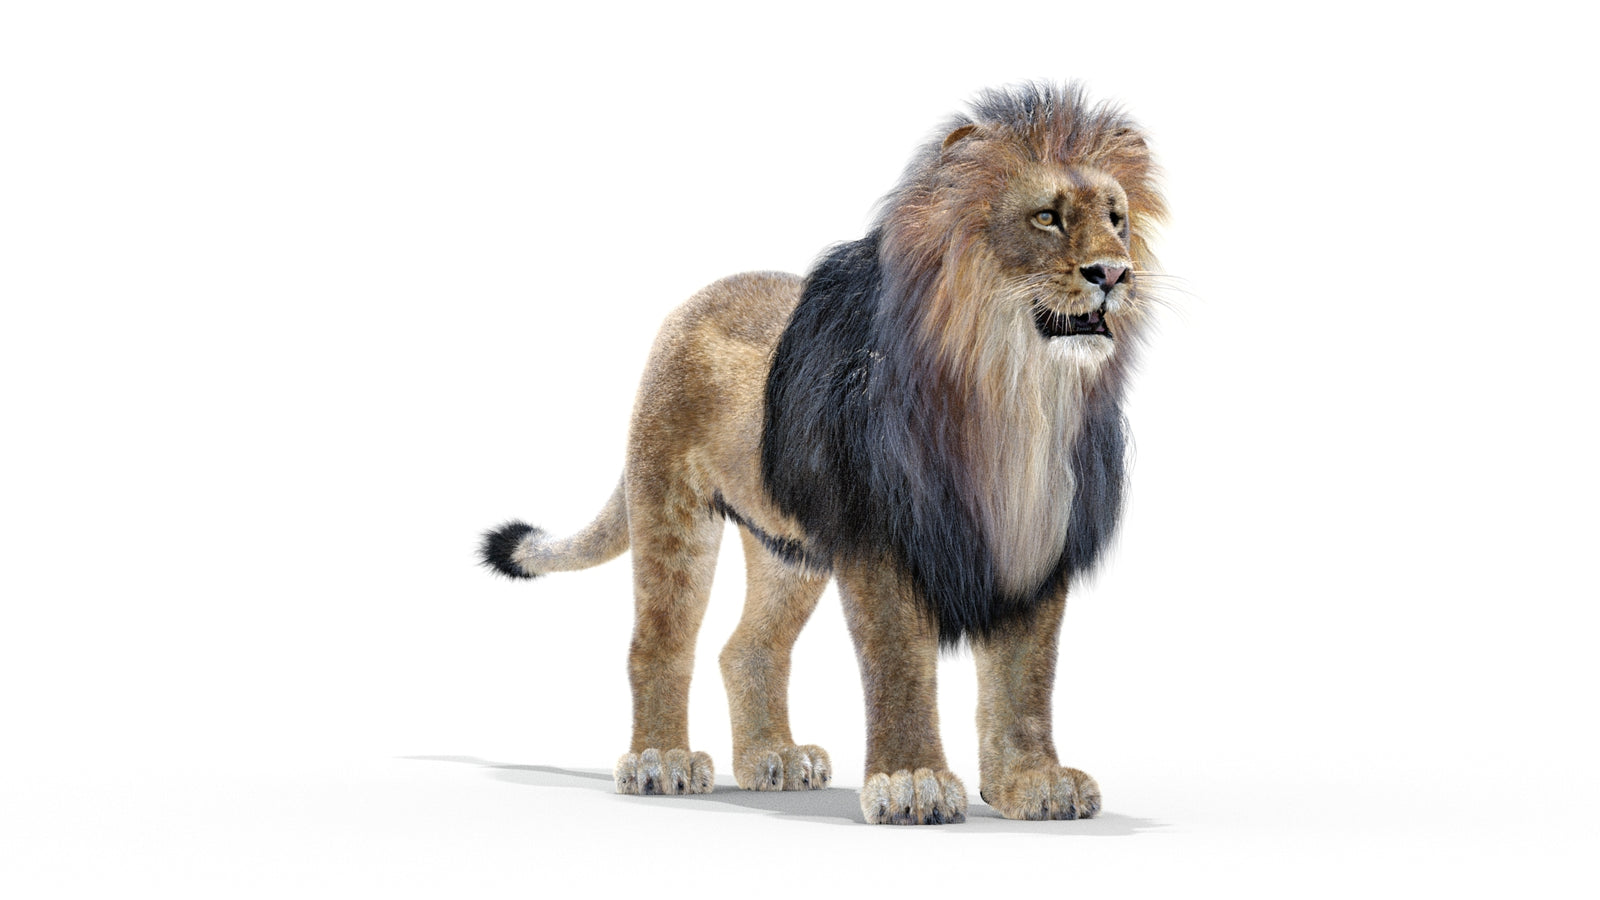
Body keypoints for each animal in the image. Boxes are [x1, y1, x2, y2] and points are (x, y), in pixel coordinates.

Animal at [480, 81, 1166, 824]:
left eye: (1118, 220)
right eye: (1046, 217)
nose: (1115, 273)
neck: (1017, 394)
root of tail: (695, 301)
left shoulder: (1038, 538)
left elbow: (1026, 675)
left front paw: (1032, 782)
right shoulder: (879, 532)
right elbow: (899, 660)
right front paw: (913, 782)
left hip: (790, 549)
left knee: (746, 649)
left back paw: (775, 760)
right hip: (671, 507)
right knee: (658, 641)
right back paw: (661, 760)